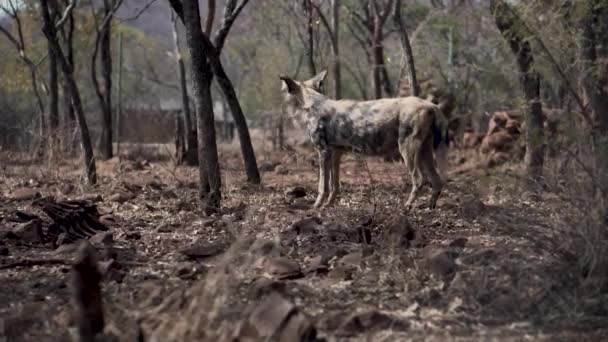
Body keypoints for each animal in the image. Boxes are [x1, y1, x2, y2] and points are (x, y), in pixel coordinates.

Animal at [280, 71, 446, 210]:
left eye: (284, 91)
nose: (283, 107)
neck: (312, 103)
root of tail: (431, 104)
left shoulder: (323, 152)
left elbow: (323, 186)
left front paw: (317, 206)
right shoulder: (335, 153)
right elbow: (334, 185)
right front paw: (329, 204)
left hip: (407, 150)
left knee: (419, 179)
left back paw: (407, 205)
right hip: (425, 151)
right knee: (437, 180)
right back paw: (430, 207)